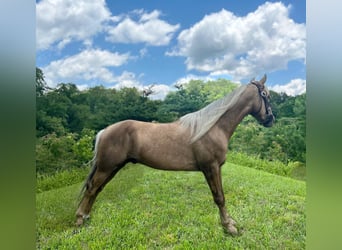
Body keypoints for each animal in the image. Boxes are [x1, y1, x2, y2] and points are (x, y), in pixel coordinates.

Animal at [75, 74, 276, 234]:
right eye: (266, 95)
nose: (271, 119)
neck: (213, 128)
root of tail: (105, 131)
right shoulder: (211, 167)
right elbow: (219, 197)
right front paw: (229, 226)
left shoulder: (215, 168)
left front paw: (229, 222)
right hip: (107, 167)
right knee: (92, 188)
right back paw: (79, 219)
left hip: (113, 167)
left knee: (96, 189)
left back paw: (85, 216)